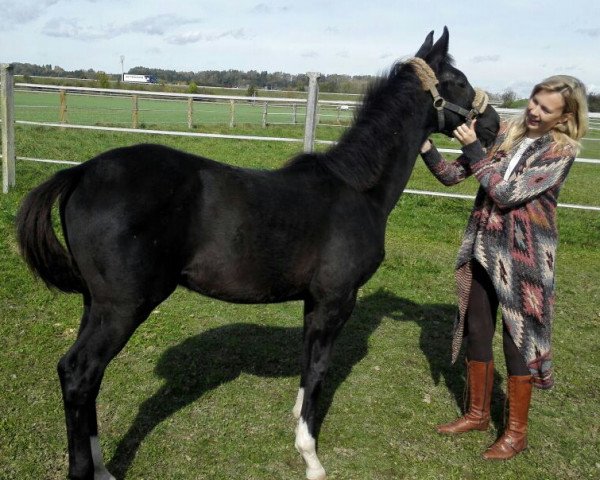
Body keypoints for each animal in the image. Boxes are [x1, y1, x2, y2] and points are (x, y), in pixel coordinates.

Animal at [16, 28, 500, 478]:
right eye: (457, 80)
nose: (493, 124)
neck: (357, 189)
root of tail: (81, 173)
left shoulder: (313, 303)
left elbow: (307, 365)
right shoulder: (335, 301)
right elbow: (319, 370)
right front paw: (310, 457)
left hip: (95, 303)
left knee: (86, 378)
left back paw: (102, 466)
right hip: (122, 307)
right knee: (79, 374)